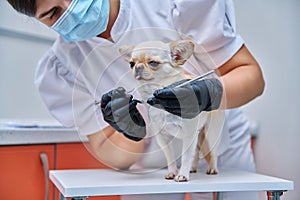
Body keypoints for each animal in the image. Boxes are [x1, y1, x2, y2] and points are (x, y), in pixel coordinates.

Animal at [118, 39, 224, 182]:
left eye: (153, 63)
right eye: (131, 63)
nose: (137, 67)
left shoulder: (189, 135)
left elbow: (185, 157)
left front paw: (182, 175)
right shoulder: (163, 138)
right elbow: (170, 157)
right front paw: (173, 172)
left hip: (211, 133)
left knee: (212, 152)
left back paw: (212, 168)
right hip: (198, 135)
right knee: (196, 152)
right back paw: (192, 168)